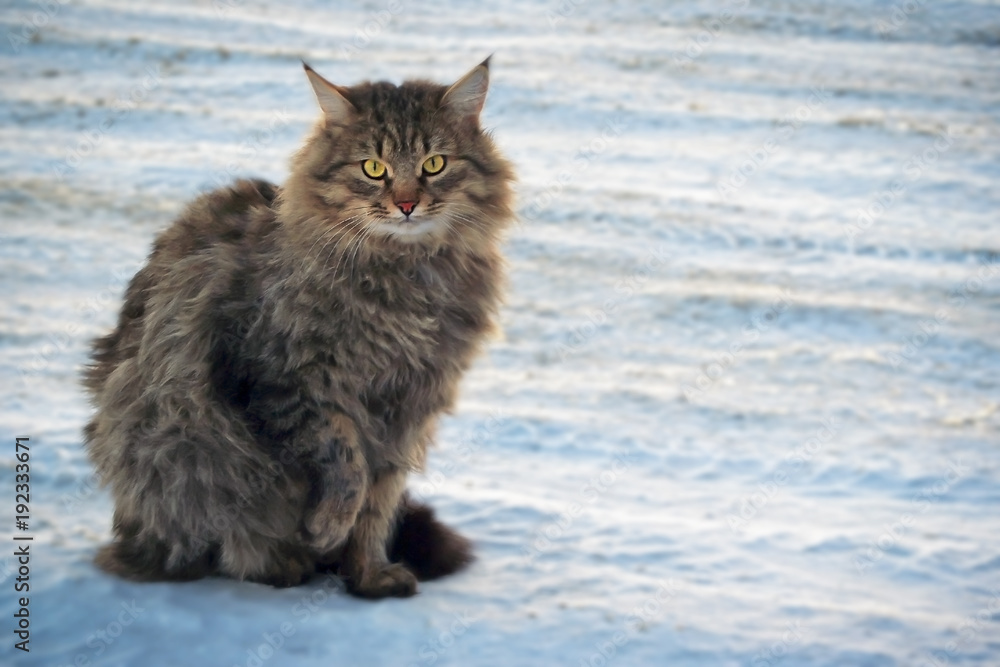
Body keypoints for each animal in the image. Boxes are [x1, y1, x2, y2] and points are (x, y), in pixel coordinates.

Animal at [81, 57, 512, 600]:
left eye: (434, 164)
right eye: (374, 168)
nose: (407, 204)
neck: (406, 277)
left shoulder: (408, 407)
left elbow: (378, 502)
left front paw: (368, 575)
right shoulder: (284, 379)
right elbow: (347, 465)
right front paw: (326, 528)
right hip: (176, 444)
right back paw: (281, 564)